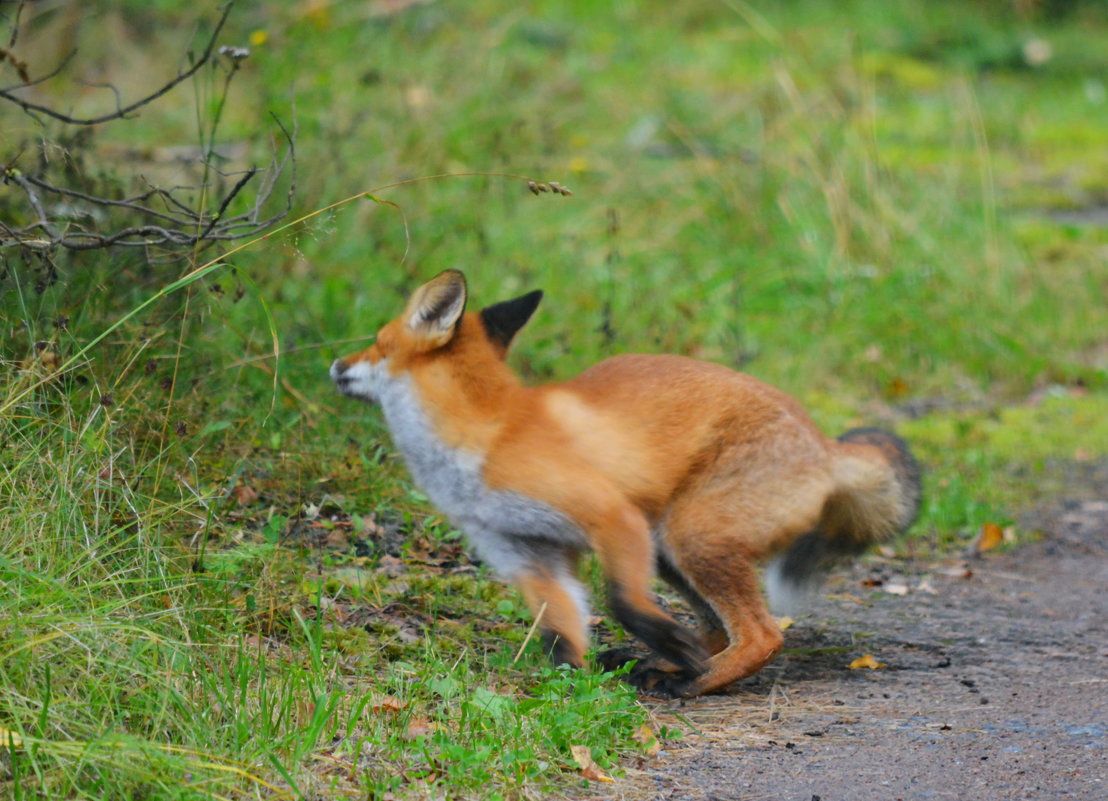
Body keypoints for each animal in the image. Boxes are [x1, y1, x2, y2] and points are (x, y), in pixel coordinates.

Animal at [332, 272, 921, 700]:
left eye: (376, 344)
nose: (336, 364)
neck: (488, 434)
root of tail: (825, 445)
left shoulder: (611, 515)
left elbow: (622, 602)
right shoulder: (526, 551)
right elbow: (561, 628)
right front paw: (571, 685)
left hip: (689, 536)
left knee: (762, 635)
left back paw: (694, 680)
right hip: (671, 549)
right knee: (717, 630)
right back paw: (666, 661)